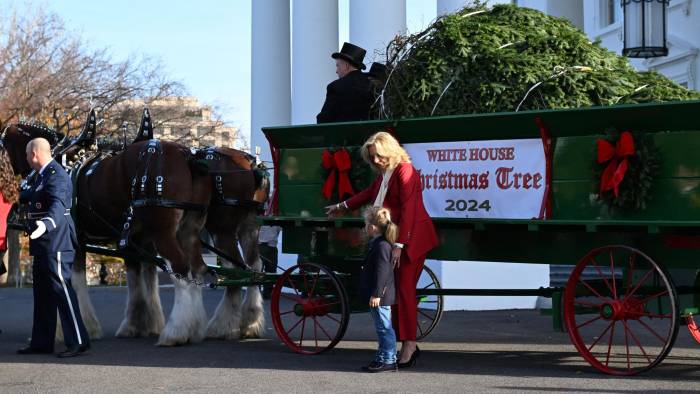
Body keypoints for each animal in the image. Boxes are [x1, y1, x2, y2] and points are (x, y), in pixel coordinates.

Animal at [1, 122, 212, 344]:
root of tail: (187, 155)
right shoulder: (135, 241)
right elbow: (140, 278)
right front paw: (136, 325)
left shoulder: (75, 239)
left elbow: (71, 280)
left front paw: (79, 327)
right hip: (189, 230)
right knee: (197, 269)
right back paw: (196, 328)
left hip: (163, 232)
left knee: (181, 269)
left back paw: (176, 332)